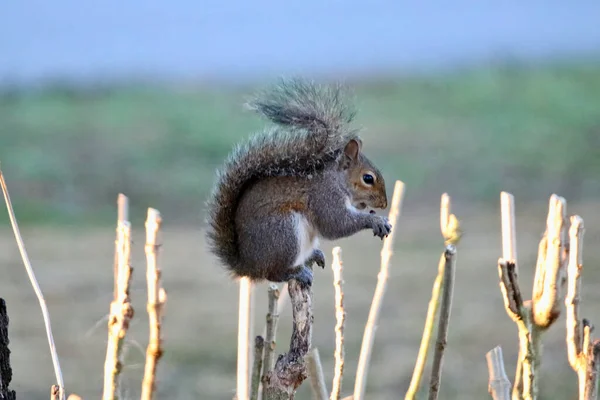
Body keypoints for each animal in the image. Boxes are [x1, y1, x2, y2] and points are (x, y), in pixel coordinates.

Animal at [206, 78, 392, 286]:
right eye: (368, 178)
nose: (384, 203)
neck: (336, 181)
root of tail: (249, 267)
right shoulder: (324, 197)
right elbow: (336, 224)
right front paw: (375, 220)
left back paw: (312, 256)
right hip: (284, 232)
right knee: (273, 273)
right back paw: (296, 273)